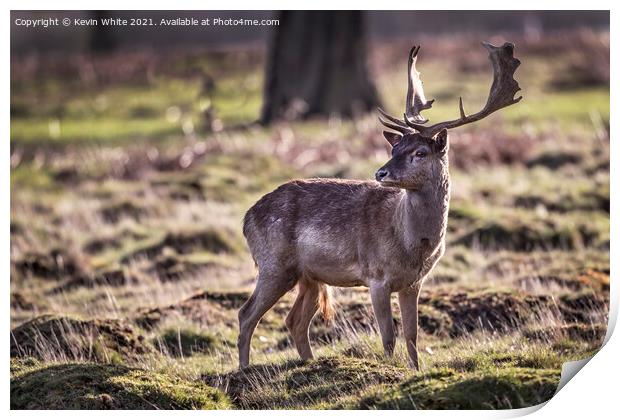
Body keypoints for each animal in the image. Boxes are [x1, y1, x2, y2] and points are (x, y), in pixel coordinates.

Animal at [240, 42, 520, 370]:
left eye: (420, 152)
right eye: (394, 147)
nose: (381, 173)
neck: (411, 243)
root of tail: (246, 218)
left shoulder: (414, 282)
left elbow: (412, 334)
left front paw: (416, 370)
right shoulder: (376, 276)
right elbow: (388, 335)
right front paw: (390, 368)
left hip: (309, 275)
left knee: (294, 320)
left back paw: (310, 363)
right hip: (273, 263)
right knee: (247, 314)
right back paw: (243, 369)